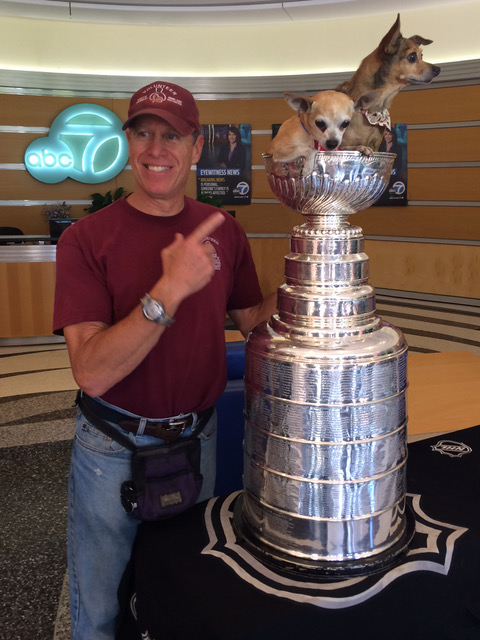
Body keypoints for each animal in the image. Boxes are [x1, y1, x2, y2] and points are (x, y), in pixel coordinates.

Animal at [336, 13, 440, 154]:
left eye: (422, 56)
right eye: (412, 57)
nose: (438, 69)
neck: (373, 110)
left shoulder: (376, 145)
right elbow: (347, 146)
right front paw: (361, 147)